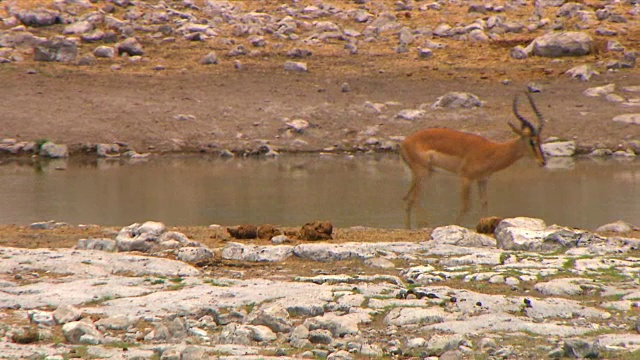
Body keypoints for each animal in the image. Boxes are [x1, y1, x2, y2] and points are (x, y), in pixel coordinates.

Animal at [400, 93, 544, 228]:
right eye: (532, 141)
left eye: (540, 140)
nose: (542, 162)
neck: (492, 151)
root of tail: (405, 142)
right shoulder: (465, 178)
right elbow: (465, 206)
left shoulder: (482, 180)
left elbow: (484, 203)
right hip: (423, 173)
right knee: (415, 198)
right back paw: (424, 225)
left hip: (425, 174)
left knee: (407, 198)